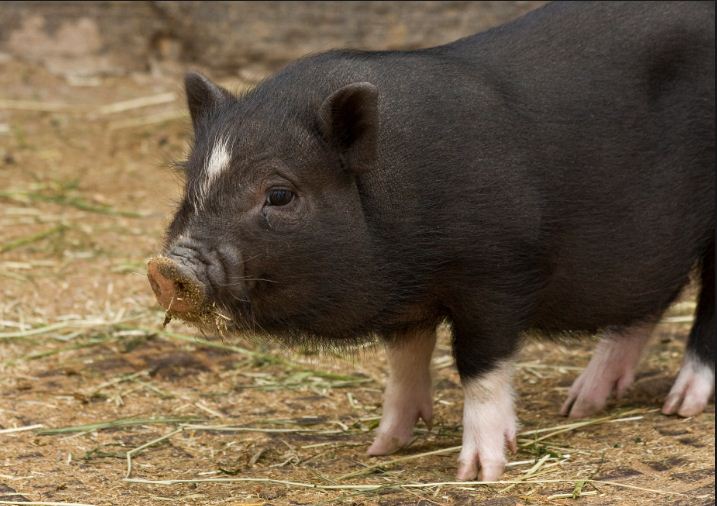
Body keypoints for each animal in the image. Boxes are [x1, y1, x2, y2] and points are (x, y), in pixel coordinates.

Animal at [147, 1, 715, 481]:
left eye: (280, 194)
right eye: (191, 181)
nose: (167, 268)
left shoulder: (500, 272)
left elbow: (480, 365)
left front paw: (479, 472)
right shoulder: (406, 299)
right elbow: (404, 359)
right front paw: (382, 447)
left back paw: (680, 406)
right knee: (650, 302)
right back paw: (581, 404)